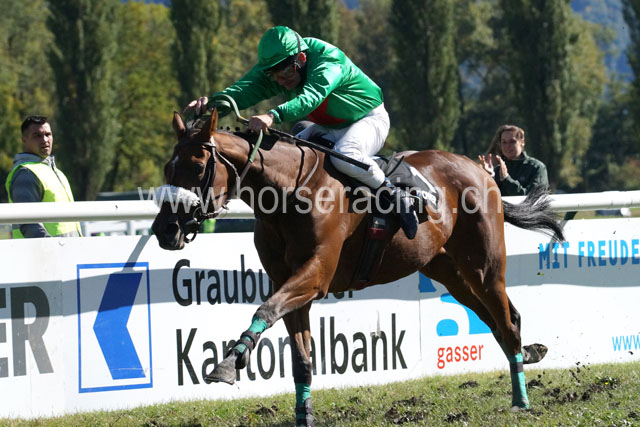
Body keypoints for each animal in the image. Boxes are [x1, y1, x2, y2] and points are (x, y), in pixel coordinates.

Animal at [152, 109, 564, 426]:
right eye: (168, 167)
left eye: (198, 166)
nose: (165, 229)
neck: (288, 192)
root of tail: (482, 173)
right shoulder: (289, 281)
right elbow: (300, 358)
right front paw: (303, 415)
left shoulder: (315, 274)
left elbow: (265, 309)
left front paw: (228, 363)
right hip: (449, 273)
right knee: (499, 320)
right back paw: (529, 355)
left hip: (484, 267)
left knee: (506, 322)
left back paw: (521, 400)